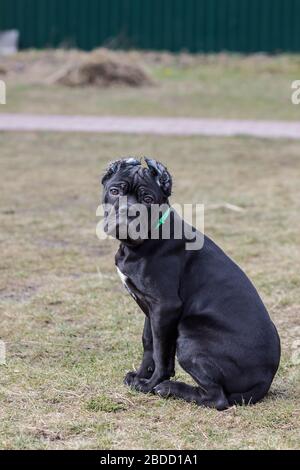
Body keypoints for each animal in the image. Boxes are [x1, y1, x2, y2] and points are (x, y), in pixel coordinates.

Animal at [101, 157, 282, 408]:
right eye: (114, 191)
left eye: (148, 199)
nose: (128, 213)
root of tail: (265, 381)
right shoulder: (152, 308)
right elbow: (149, 342)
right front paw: (140, 376)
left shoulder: (166, 306)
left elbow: (160, 352)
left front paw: (149, 385)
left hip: (190, 333)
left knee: (217, 398)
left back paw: (169, 388)